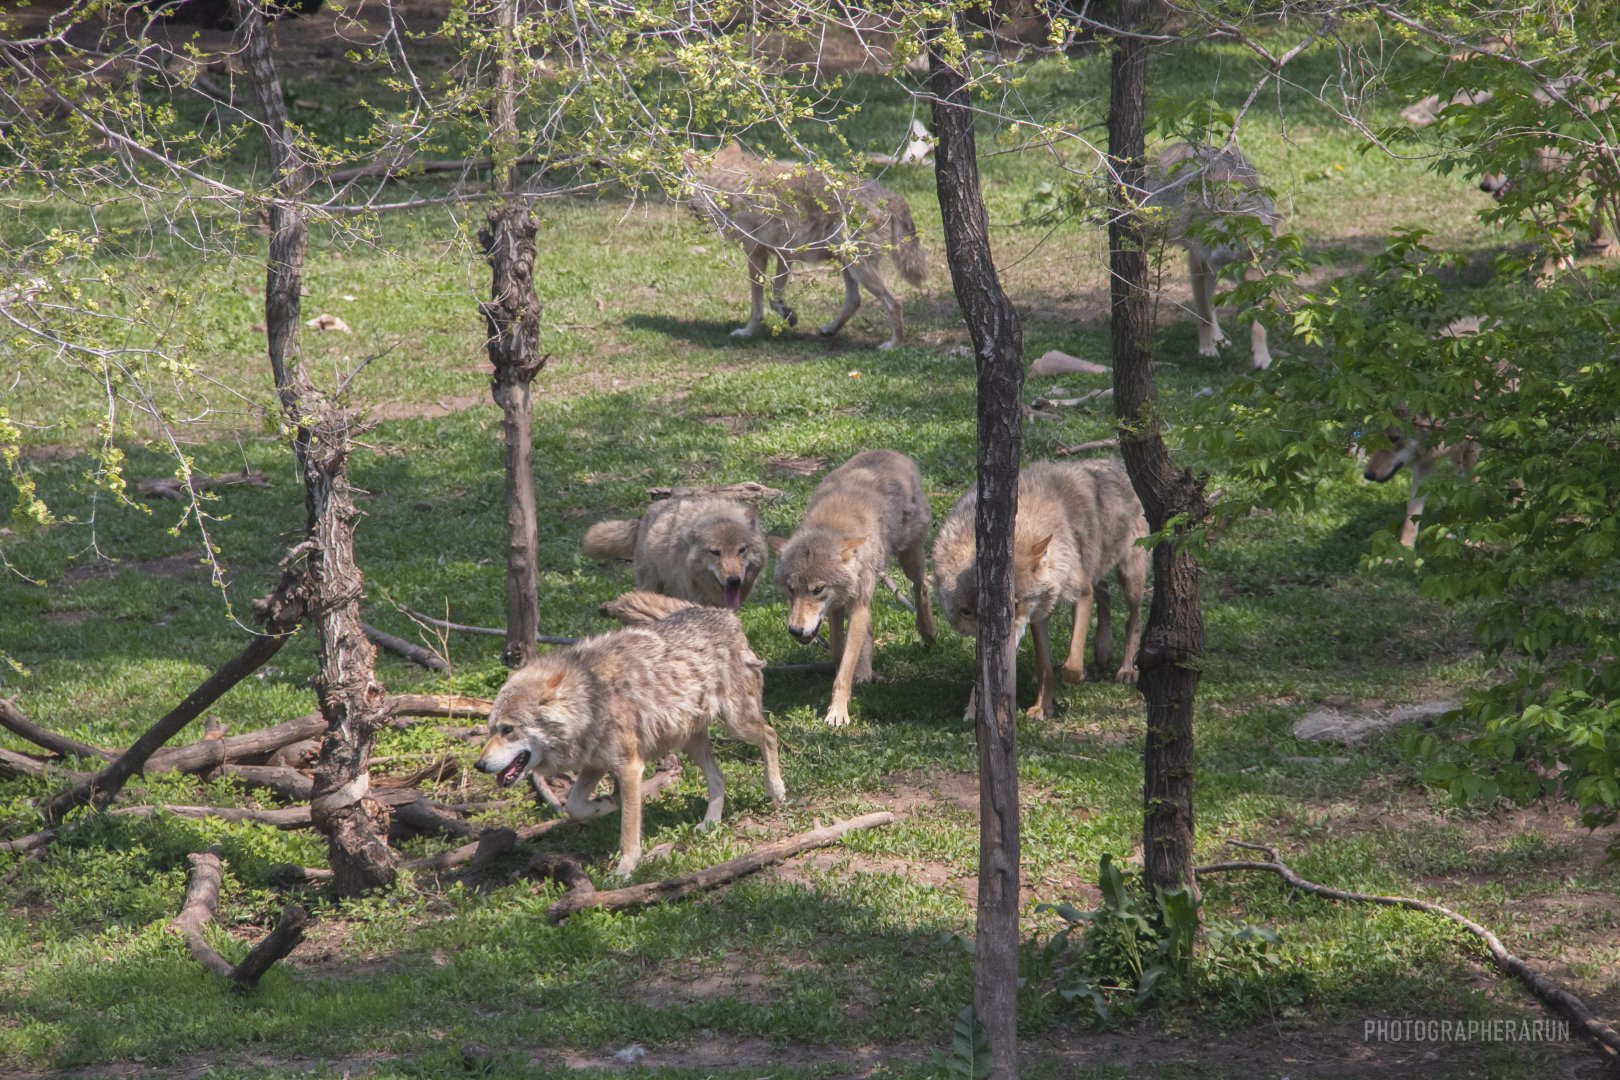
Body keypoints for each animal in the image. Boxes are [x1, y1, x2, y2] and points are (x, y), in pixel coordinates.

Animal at [474, 593, 786, 877]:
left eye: (507, 729)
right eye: (491, 729)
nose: (479, 765)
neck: (590, 698)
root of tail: (723, 613)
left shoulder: (630, 768)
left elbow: (628, 831)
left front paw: (624, 870)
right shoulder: (595, 764)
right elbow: (574, 806)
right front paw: (605, 804)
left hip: (737, 724)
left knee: (770, 735)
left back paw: (776, 790)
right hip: (690, 743)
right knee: (719, 778)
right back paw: (710, 824)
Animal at [687, 142, 927, 351]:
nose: (689, 208)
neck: (731, 182)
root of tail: (887, 195)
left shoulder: (756, 255)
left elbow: (757, 304)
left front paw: (747, 332)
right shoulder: (784, 255)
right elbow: (775, 296)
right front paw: (788, 314)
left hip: (860, 269)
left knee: (894, 303)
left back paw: (893, 345)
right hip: (846, 264)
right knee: (854, 301)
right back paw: (830, 330)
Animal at [772, 450, 937, 727]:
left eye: (817, 589)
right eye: (790, 589)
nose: (795, 631)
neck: (831, 524)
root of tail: (892, 452)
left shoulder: (856, 604)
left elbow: (845, 668)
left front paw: (838, 712)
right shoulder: (837, 608)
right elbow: (840, 654)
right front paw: (852, 681)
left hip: (909, 559)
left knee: (921, 585)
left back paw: (928, 631)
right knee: (869, 629)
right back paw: (866, 672)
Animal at [933, 459, 1148, 720]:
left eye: (1013, 604)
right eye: (966, 612)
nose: (1001, 639)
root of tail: (1114, 462)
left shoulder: (1080, 594)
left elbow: (1071, 666)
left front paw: (1077, 676)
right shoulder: (1038, 615)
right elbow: (1042, 667)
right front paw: (1040, 707)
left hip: (1129, 576)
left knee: (1133, 617)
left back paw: (1127, 669)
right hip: (1096, 570)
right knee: (1104, 591)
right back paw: (1102, 651)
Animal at [1145, 141, 1281, 370]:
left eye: (1261, 261)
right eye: (1241, 256)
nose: (1256, 292)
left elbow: (1257, 324)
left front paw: (1262, 358)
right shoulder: (1197, 261)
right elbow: (1204, 312)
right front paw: (1207, 349)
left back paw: (1219, 337)